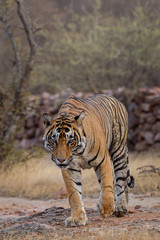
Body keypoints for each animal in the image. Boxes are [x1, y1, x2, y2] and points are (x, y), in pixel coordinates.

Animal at [42, 94, 134, 227]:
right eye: (54, 140)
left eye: (70, 140)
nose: (61, 160)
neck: (78, 152)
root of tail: (116, 99)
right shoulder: (70, 168)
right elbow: (74, 194)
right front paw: (77, 218)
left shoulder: (103, 160)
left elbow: (106, 184)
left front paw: (106, 208)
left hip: (119, 149)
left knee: (122, 178)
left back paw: (121, 207)